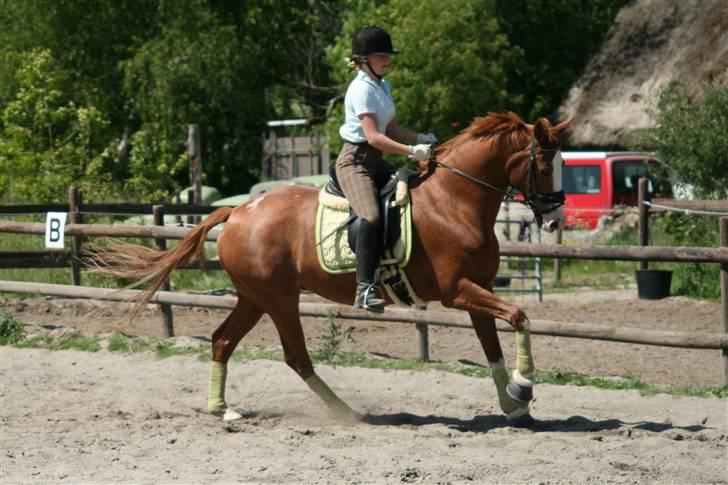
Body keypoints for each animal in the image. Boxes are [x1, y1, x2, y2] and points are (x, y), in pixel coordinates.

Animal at [92, 112, 568, 424]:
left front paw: (512, 403)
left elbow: (494, 346)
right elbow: (520, 316)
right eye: (545, 165)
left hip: (254, 298)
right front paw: (524, 386)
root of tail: (239, 211)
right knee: (295, 356)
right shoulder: (458, 291)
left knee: (222, 341)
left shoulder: (478, 289)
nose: (555, 221)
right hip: (279, 299)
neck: (455, 202)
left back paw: (222, 409)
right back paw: (346, 412)